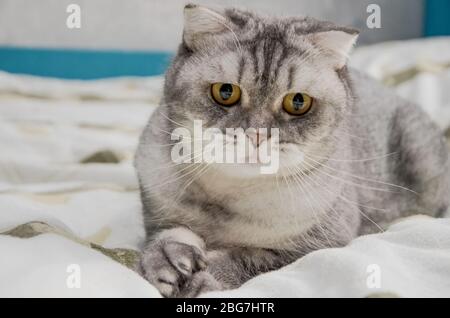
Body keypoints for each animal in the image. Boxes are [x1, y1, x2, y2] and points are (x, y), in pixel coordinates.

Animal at [134, 4, 450, 298]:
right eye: (225, 92)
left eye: (298, 102)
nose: (257, 135)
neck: (230, 204)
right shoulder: (158, 213)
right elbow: (168, 234)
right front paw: (168, 258)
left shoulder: (316, 245)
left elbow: (247, 258)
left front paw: (206, 276)